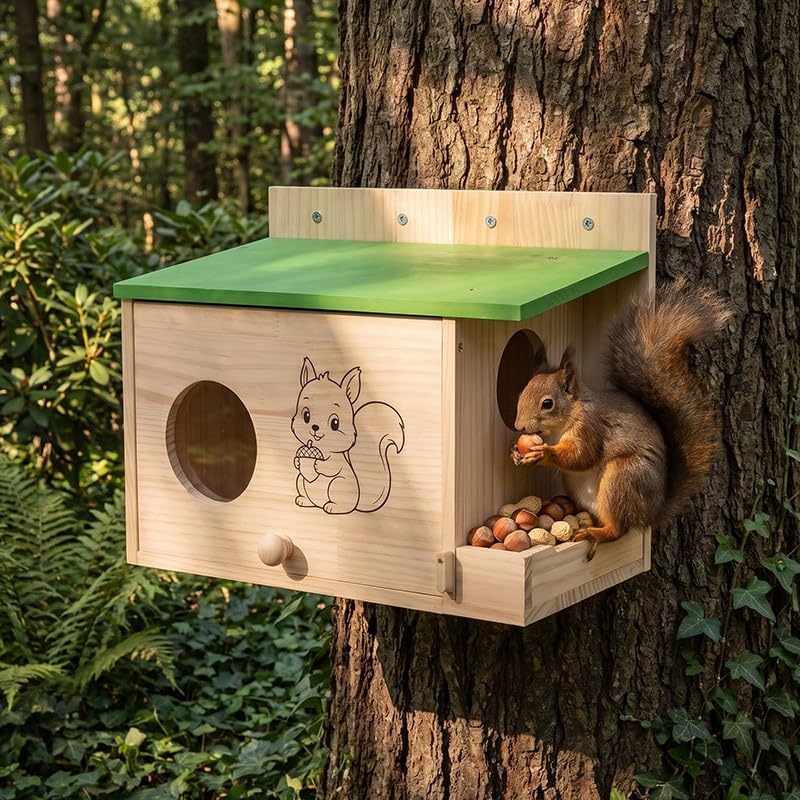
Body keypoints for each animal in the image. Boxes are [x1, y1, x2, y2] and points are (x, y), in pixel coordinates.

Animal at [291, 357, 405, 514]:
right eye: (306, 415)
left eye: (335, 423)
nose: (315, 427)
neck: (323, 448)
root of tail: (357, 502)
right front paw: (297, 462)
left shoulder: (336, 461)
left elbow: (331, 467)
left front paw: (318, 465)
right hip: (300, 481)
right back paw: (304, 500)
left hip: (338, 485)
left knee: (344, 505)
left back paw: (332, 507)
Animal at [512, 279, 731, 560]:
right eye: (521, 393)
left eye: (547, 403)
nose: (519, 426)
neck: (563, 423)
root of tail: (652, 513)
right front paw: (515, 452)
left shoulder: (590, 428)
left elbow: (581, 456)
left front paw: (543, 453)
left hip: (623, 478)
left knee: (619, 530)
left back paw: (597, 534)